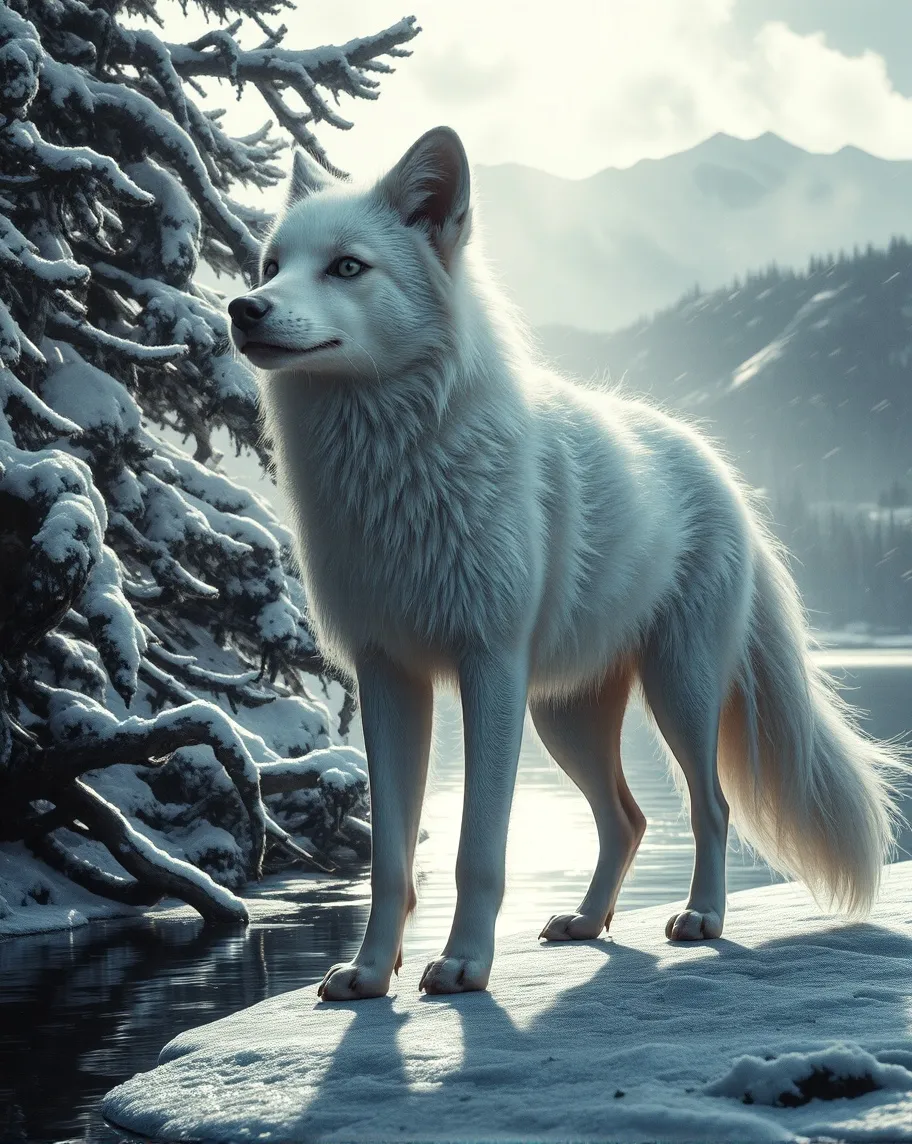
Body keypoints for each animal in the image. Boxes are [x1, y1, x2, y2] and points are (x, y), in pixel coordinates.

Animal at [229, 126, 905, 1002]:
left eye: (347, 266)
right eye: (272, 264)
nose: (242, 307)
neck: (394, 462)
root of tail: (720, 468)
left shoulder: (488, 668)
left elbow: (478, 850)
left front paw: (465, 965)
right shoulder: (388, 677)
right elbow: (389, 861)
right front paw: (371, 974)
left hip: (678, 693)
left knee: (709, 808)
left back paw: (702, 917)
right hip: (566, 719)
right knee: (629, 818)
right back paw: (586, 922)